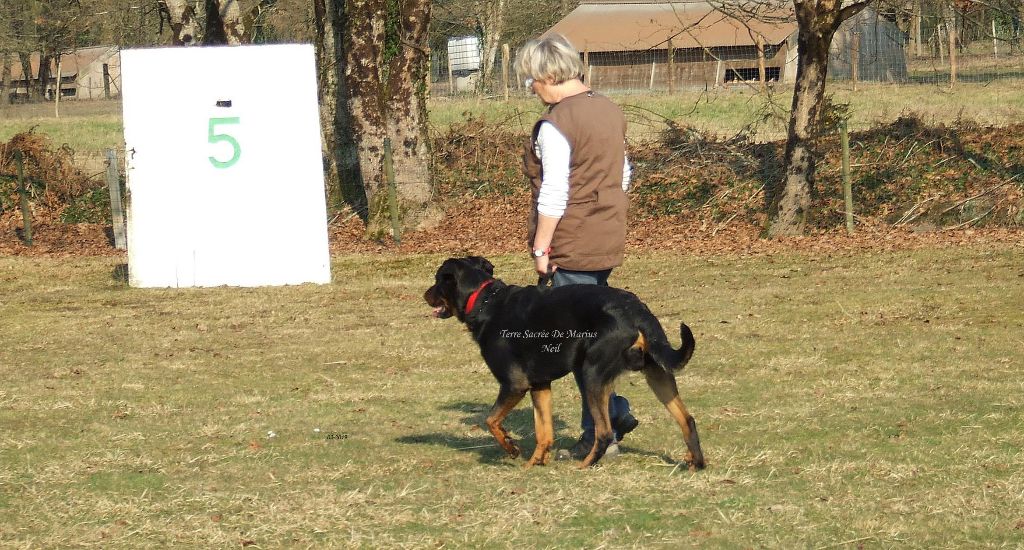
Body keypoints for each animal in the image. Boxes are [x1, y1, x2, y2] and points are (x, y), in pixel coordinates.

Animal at [424, 256, 705, 470]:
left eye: (437, 280)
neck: (485, 301)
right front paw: (534, 464)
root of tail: (637, 311)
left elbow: (491, 420)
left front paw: (512, 449)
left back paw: (585, 465)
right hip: (658, 374)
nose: (424, 295)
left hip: (591, 374)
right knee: (687, 419)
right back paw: (696, 463)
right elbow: (544, 432)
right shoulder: (540, 385)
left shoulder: (514, 384)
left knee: (604, 432)